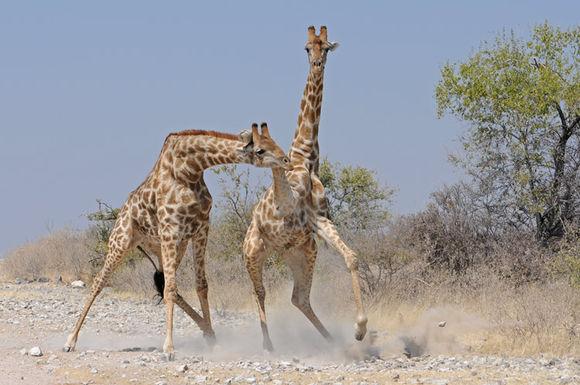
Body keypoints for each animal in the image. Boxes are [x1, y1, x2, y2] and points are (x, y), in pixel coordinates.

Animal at [64, 124, 290, 360]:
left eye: (274, 141)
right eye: (260, 150)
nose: (286, 160)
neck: (190, 170)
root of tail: (123, 212)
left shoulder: (201, 229)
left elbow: (200, 286)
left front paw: (212, 341)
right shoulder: (171, 230)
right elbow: (171, 289)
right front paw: (169, 348)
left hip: (172, 247)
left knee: (166, 285)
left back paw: (209, 333)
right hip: (122, 240)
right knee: (100, 281)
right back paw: (70, 341)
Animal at [244, 27, 368, 352]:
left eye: (326, 47)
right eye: (306, 47)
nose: (317, 64)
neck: (307, 158)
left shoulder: (319, 221)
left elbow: (351, 257)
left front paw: (360, 329)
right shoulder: (296, 213)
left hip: (301, 252)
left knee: (298, 297)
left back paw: (331, 340)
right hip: (253, 251)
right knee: (259, 292)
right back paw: (267, 344)